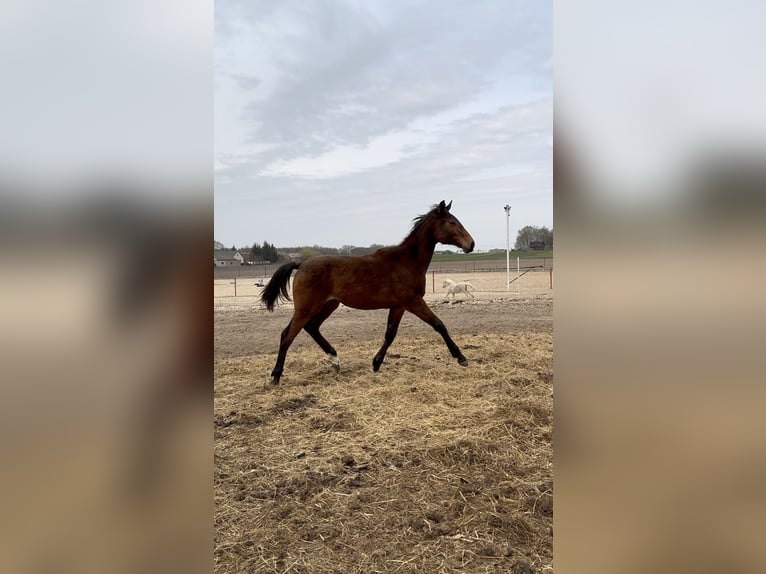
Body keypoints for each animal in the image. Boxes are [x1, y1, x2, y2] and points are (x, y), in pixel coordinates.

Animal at [260, 200, 475, 384]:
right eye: (452, 222)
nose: (471, 244)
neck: (406, 262)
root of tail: (301, 263)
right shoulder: (413, 302)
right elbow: (439, 325)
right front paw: (461, 357)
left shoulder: (398, 306)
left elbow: (390, 334)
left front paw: (376, 363)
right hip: (306, 308)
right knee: (287, 335)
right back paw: (276, 375)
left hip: (329, 304)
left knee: (312, 327)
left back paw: (335, 360)